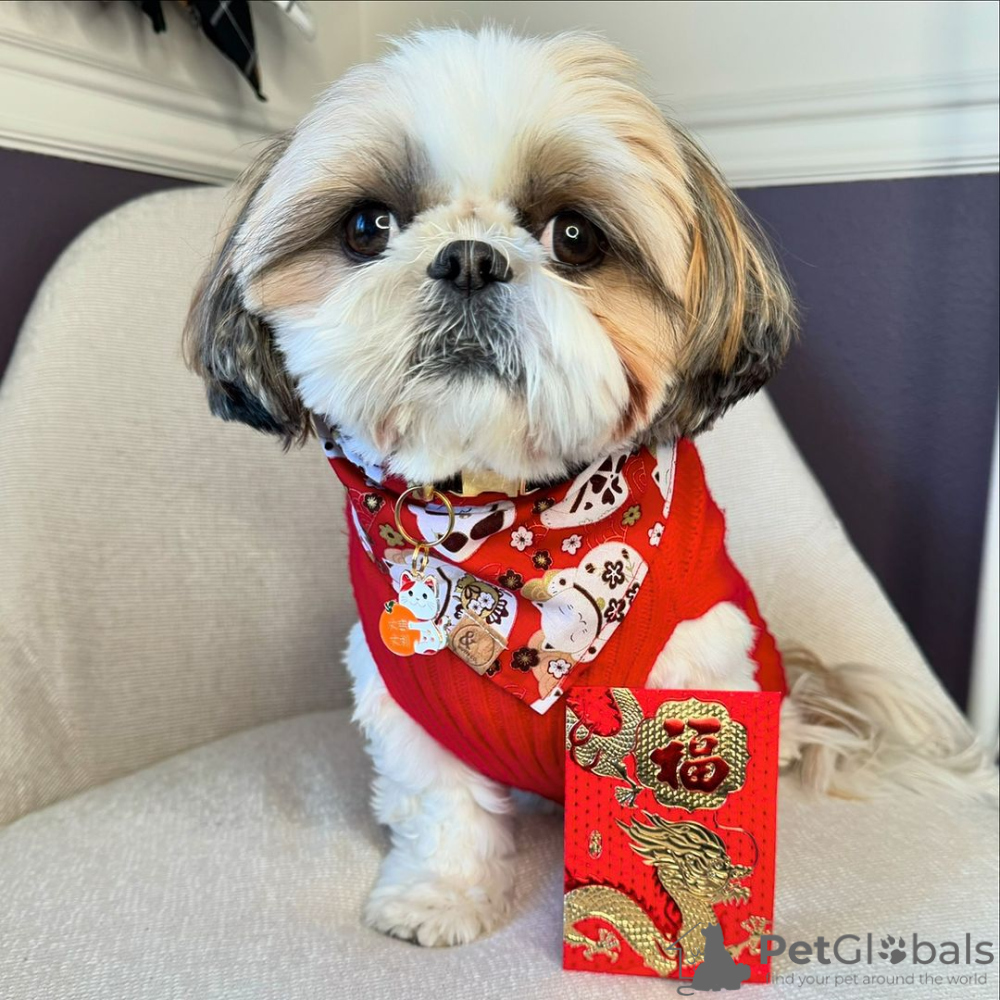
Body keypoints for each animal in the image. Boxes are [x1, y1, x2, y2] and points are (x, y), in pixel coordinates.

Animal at [185, 28, 995, 948]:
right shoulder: (409, 701)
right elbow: (443, 809)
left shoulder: (692, 670)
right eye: (366, 225)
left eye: (574, 236)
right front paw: (438, 896)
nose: (469, 258)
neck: (513, 534)